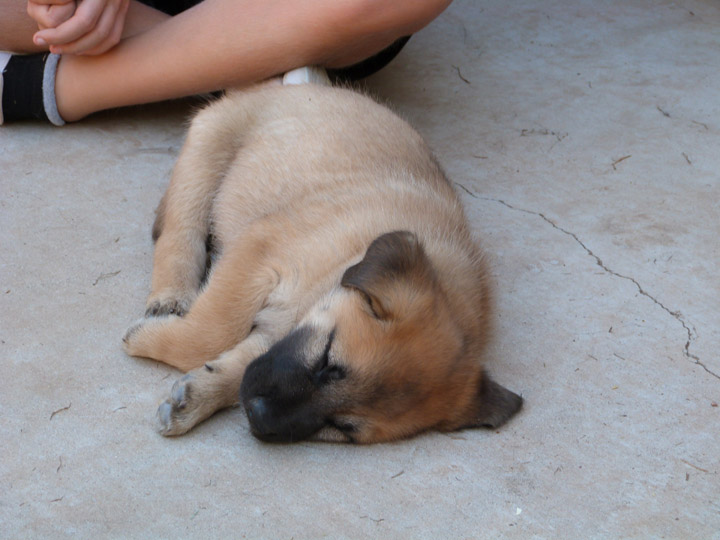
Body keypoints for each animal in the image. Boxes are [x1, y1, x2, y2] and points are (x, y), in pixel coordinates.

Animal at [121, 79, 520, 442]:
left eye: (342, 428)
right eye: (327, 360)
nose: (257, 416)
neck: (347, 257)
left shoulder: (278, 333)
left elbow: (242, 359)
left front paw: (198, 395)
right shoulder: (259, 251)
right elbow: (211, 331)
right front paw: (146, 340)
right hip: (209, 150)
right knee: (181, 228)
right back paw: (170, 296)